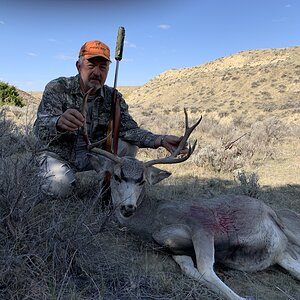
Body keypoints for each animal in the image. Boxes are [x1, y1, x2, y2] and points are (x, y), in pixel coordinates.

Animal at [88, 110, 298, 300]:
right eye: (117, 176)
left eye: (142, 181)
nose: (128, 207)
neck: (154, 219)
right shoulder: (174, 248)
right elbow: (192, 271)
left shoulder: (202, 226)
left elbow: (206, 270)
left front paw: (242, 298)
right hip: (283, 253)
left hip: (289, 229)